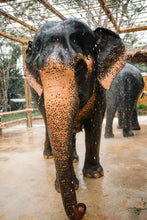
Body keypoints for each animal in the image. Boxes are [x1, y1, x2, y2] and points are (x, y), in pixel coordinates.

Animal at [24, 19, 126, 220]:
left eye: (80, 66)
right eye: (38, 70)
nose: (82, 206)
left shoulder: (99, 89)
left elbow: (95, 123)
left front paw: (94, 175)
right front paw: (66, 185)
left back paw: (74, 159)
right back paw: (50, 156)